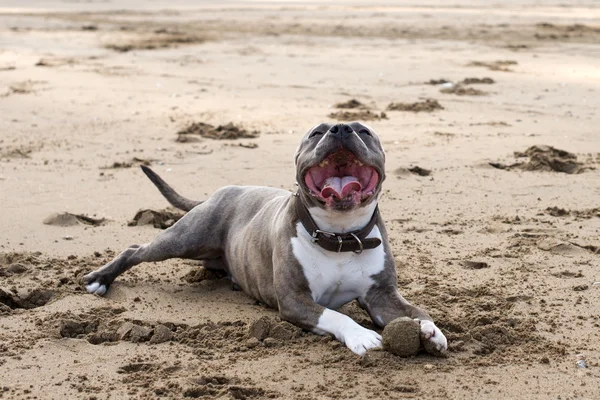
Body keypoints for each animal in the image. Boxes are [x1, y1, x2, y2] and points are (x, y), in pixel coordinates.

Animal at [83, 122, 446, 356]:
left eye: (365, 131)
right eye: (317, 132)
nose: (342, 128)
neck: (339, 236)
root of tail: (221, 192)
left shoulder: (382, 296)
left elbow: (417, 310)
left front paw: (430, 330)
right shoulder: (294, 300)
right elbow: (336, 315)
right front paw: (361, 335)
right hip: (184, 238)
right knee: (136, 249)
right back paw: (100, 279)